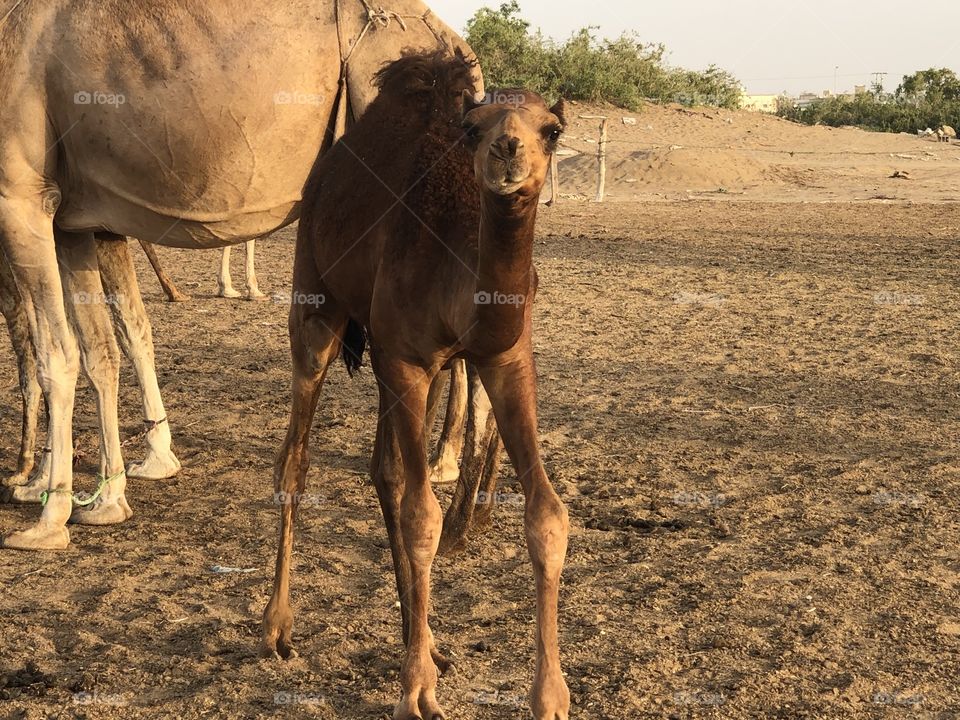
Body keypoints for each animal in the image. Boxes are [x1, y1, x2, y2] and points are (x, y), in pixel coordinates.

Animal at [0, 0, 492, 550]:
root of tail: (464, 57)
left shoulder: (21, 196)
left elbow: (53, 355)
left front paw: (47, 516)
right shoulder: (75, 220)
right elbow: (103, 349)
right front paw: (107, 499)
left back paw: (453, 507)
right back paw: (464, 507)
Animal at [261, 52, 569, 719]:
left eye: (552, 130)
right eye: (472, 129)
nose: (508, 149)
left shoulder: (504, 358)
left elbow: (547, 515)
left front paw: (551, 695)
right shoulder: (406, 360)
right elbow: (422, 516)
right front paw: (416, 692)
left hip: (390, 353)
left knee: (384, 469)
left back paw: (425, 642)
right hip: (316, 305)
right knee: (295, 457)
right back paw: (278, 627)